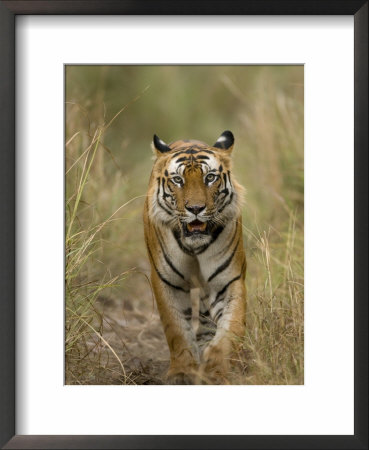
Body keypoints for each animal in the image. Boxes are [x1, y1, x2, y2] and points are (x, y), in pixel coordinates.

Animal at [142, 129, 246, 384]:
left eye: (210, 177)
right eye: (178, 180)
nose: (196, 209)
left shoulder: (227, 282)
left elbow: (231, 328)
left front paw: (216, 368)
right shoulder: (167, 282)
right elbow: (177, 329)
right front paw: (181, 373)